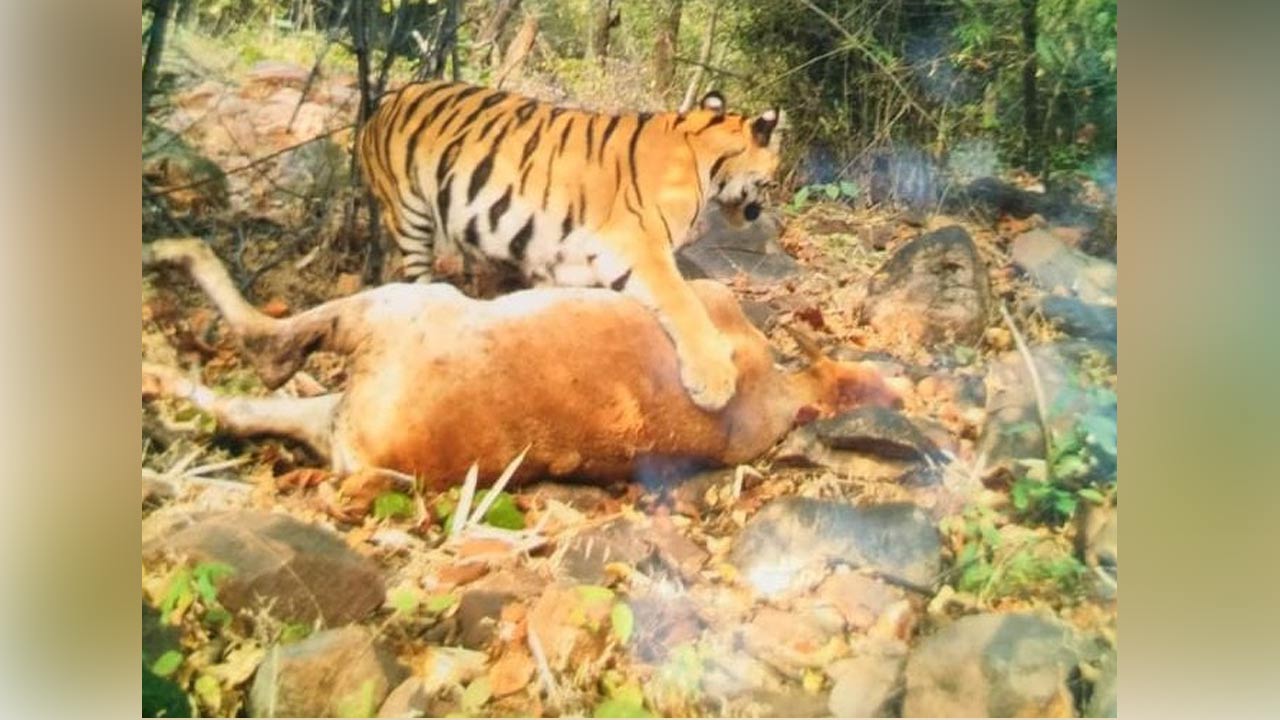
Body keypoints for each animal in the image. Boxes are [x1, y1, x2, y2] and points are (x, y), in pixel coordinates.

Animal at [356, 80, 782, 411]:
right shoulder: (640, 246)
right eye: (770, 180)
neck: (706, 158)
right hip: (410, 213)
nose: (761, 213)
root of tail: (386, 101)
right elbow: (684, 303)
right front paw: (714, 379)